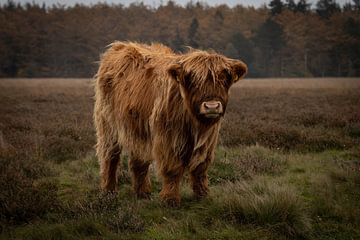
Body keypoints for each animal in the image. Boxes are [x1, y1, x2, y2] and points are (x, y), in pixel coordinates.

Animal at [94, 41, 248, 206]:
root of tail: (120, 46)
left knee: (138, 160)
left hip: (138, 127)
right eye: (193, 81)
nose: (212, 106)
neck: (193, 122)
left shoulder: (208, 140)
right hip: (108, 125)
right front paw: (170, 199)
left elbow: (200, 168)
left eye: (224, 79)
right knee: (110, 157)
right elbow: (172, 168)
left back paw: (143, 193)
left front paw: (203, 195)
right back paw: (108, 192)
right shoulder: (168, 138)